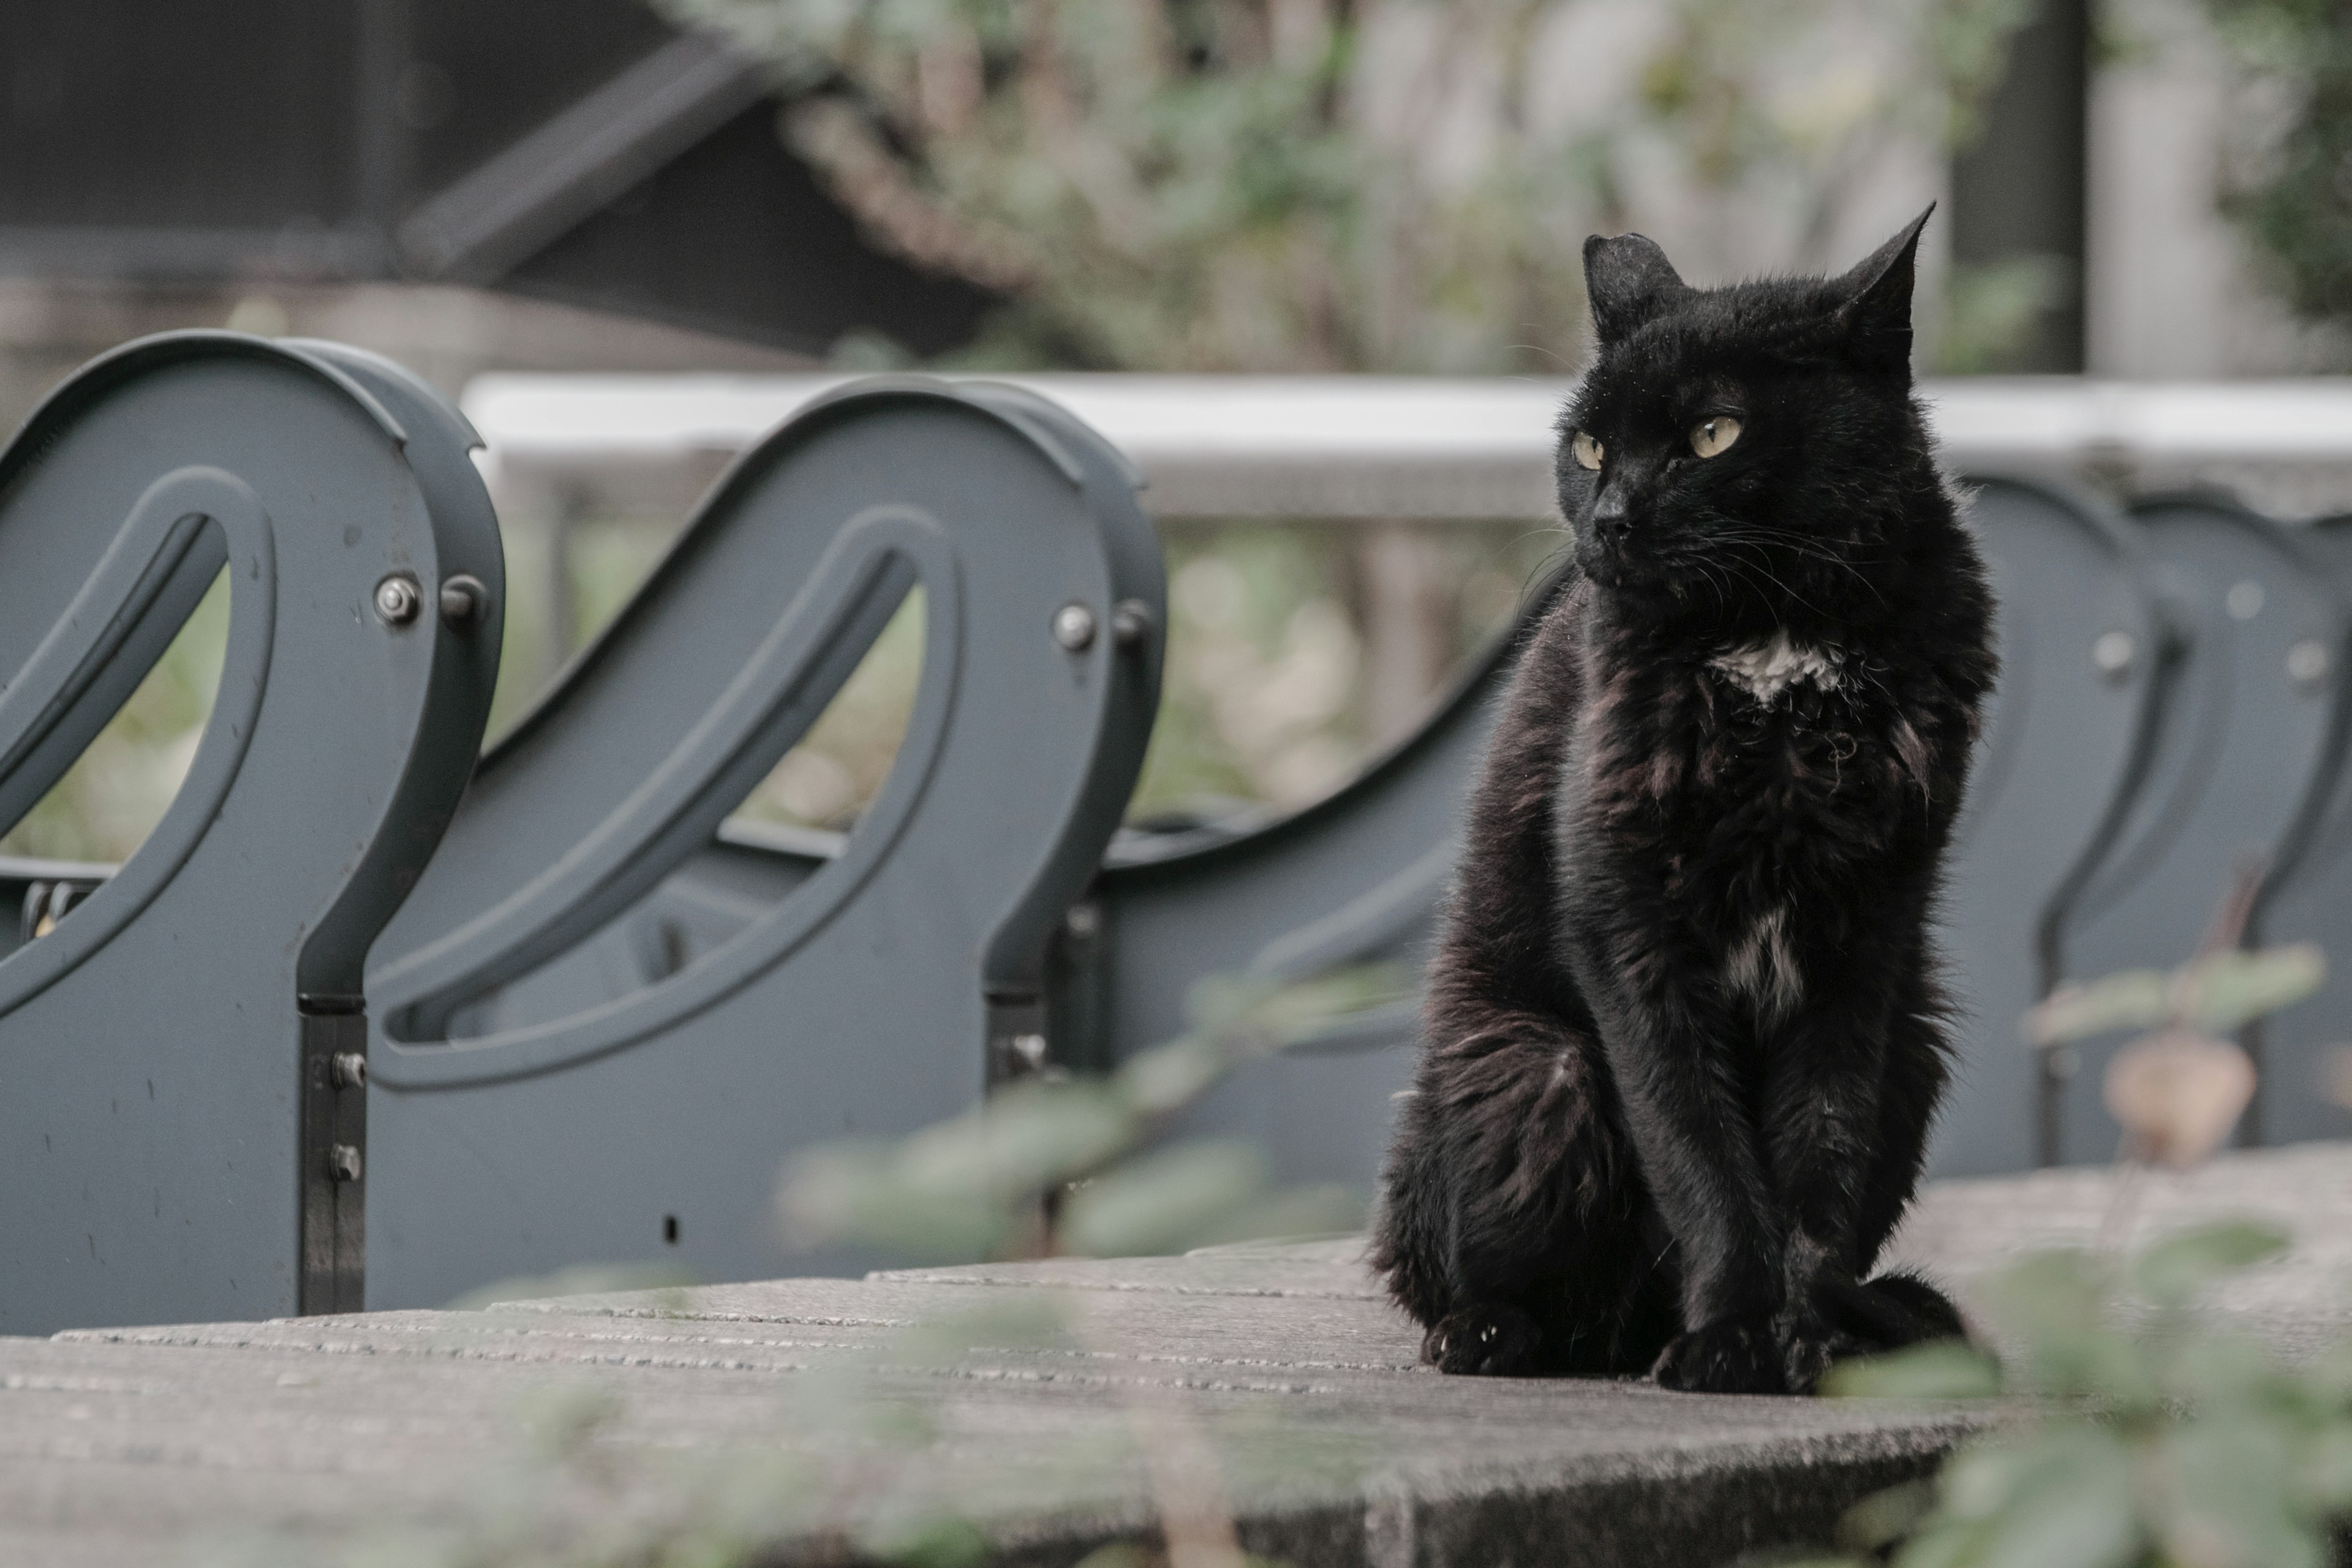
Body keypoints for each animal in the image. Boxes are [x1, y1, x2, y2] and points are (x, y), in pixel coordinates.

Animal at [1373, 211, 2003, 1401]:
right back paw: (1495, 1334)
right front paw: (1732, 1337)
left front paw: (1796, 1337)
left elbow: (1816, 1159)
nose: (1614, 518)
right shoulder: (1629, 927)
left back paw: (1861, 1327)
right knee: (1467, 1283)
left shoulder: (1869, 936)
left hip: (1914, 1044)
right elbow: (1699, 1150)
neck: (1780, 646)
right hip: (1535, 1068)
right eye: (1588, 449)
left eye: (1714, 434)